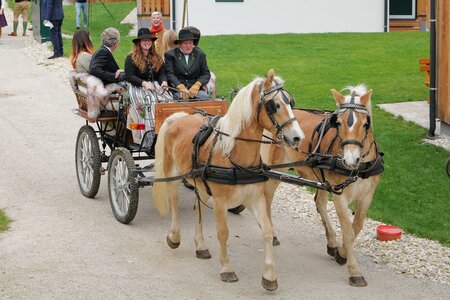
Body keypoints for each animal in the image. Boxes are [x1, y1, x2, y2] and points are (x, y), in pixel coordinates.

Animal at [152, 69, 306, 290]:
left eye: (290, 102)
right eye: (275, 105)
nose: (298, 137)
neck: (234, 153)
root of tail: (179, 116)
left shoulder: (255, 198)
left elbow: (267, 231)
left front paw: (269, 275)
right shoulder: (220, 202)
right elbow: (223, 232)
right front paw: (226, 268)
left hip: (199, 183)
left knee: (198, 208)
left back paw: (200, 246)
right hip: (172, 174)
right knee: (173, 200)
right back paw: (174, 236)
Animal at [262, 85, 384, 288]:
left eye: (366, 124)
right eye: (339, 123)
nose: (350, 159)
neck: (359, 168)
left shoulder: (367, 195)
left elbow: (357, 227)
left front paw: (341, 252)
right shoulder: (340, 194)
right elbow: (348, 231)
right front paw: (354, 270)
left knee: (319, 203)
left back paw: (332, 243)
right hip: (273, 169)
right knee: (267, 198)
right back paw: (272, 233)